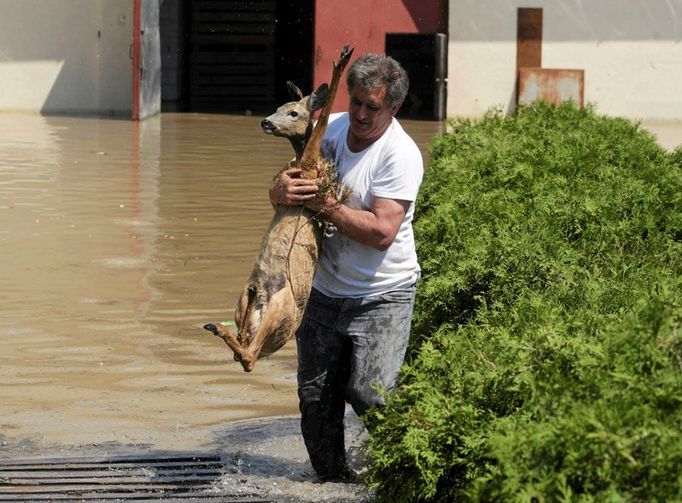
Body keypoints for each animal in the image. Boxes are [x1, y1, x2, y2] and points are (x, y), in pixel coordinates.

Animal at [202, 43, 354, 372]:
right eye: (279, 106)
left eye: (293, 112)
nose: (266, 121)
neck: (303, 161)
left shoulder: (309, 169)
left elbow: (322, 121)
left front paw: (342, 60)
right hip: (248, 305)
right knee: (246, 353)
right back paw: (223, 326)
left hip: (281, 307)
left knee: (248, 357)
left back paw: (217, 327)